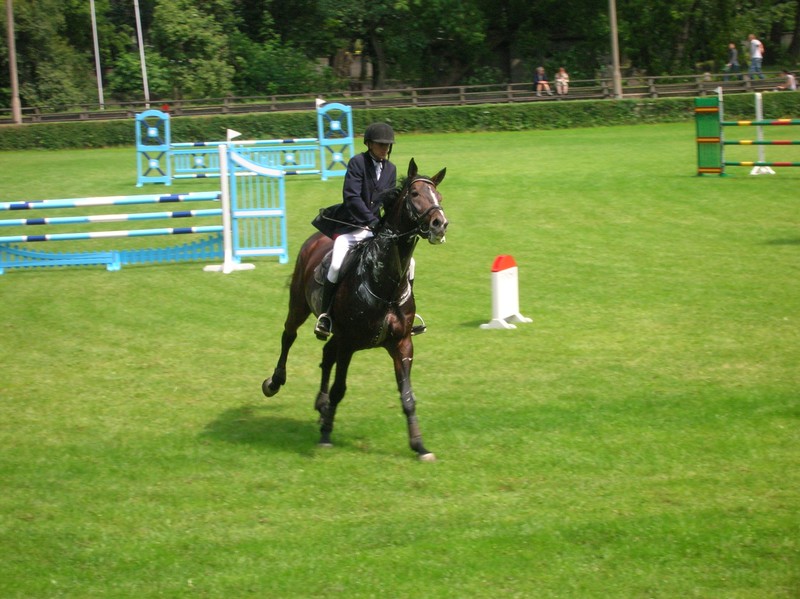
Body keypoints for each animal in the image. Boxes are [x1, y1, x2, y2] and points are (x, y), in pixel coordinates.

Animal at [264, 157, 446, 462]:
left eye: (439, 197)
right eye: (415, 194)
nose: (439, 224)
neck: (384, 284)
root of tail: (315, 240)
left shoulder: (402, 344)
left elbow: (408, 396)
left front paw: (420, 446)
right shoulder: (349, 343)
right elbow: (340, 389)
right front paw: (326, 436)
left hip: (334, 332)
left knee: (326, 354)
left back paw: (321, 406)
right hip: (299, 306)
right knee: (288, 336)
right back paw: (275, 383)